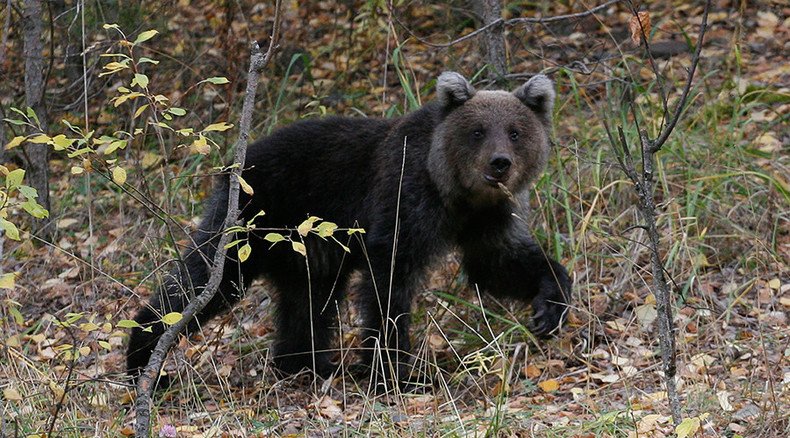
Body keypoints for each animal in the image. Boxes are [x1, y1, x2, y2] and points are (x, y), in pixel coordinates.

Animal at [128, 71, 576, 386]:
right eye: (478, 131)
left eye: (515, 132)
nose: (499, 163)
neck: (455, 193)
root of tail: (237, 160)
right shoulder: (405, 198)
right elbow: (389, 283)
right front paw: (398, 372)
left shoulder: (486, 219)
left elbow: (499, 263)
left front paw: (549, 306)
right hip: (253, 220)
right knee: (208, 278)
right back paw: (145, 357)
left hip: (307, 247)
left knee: (309, 300)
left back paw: (307, 364)